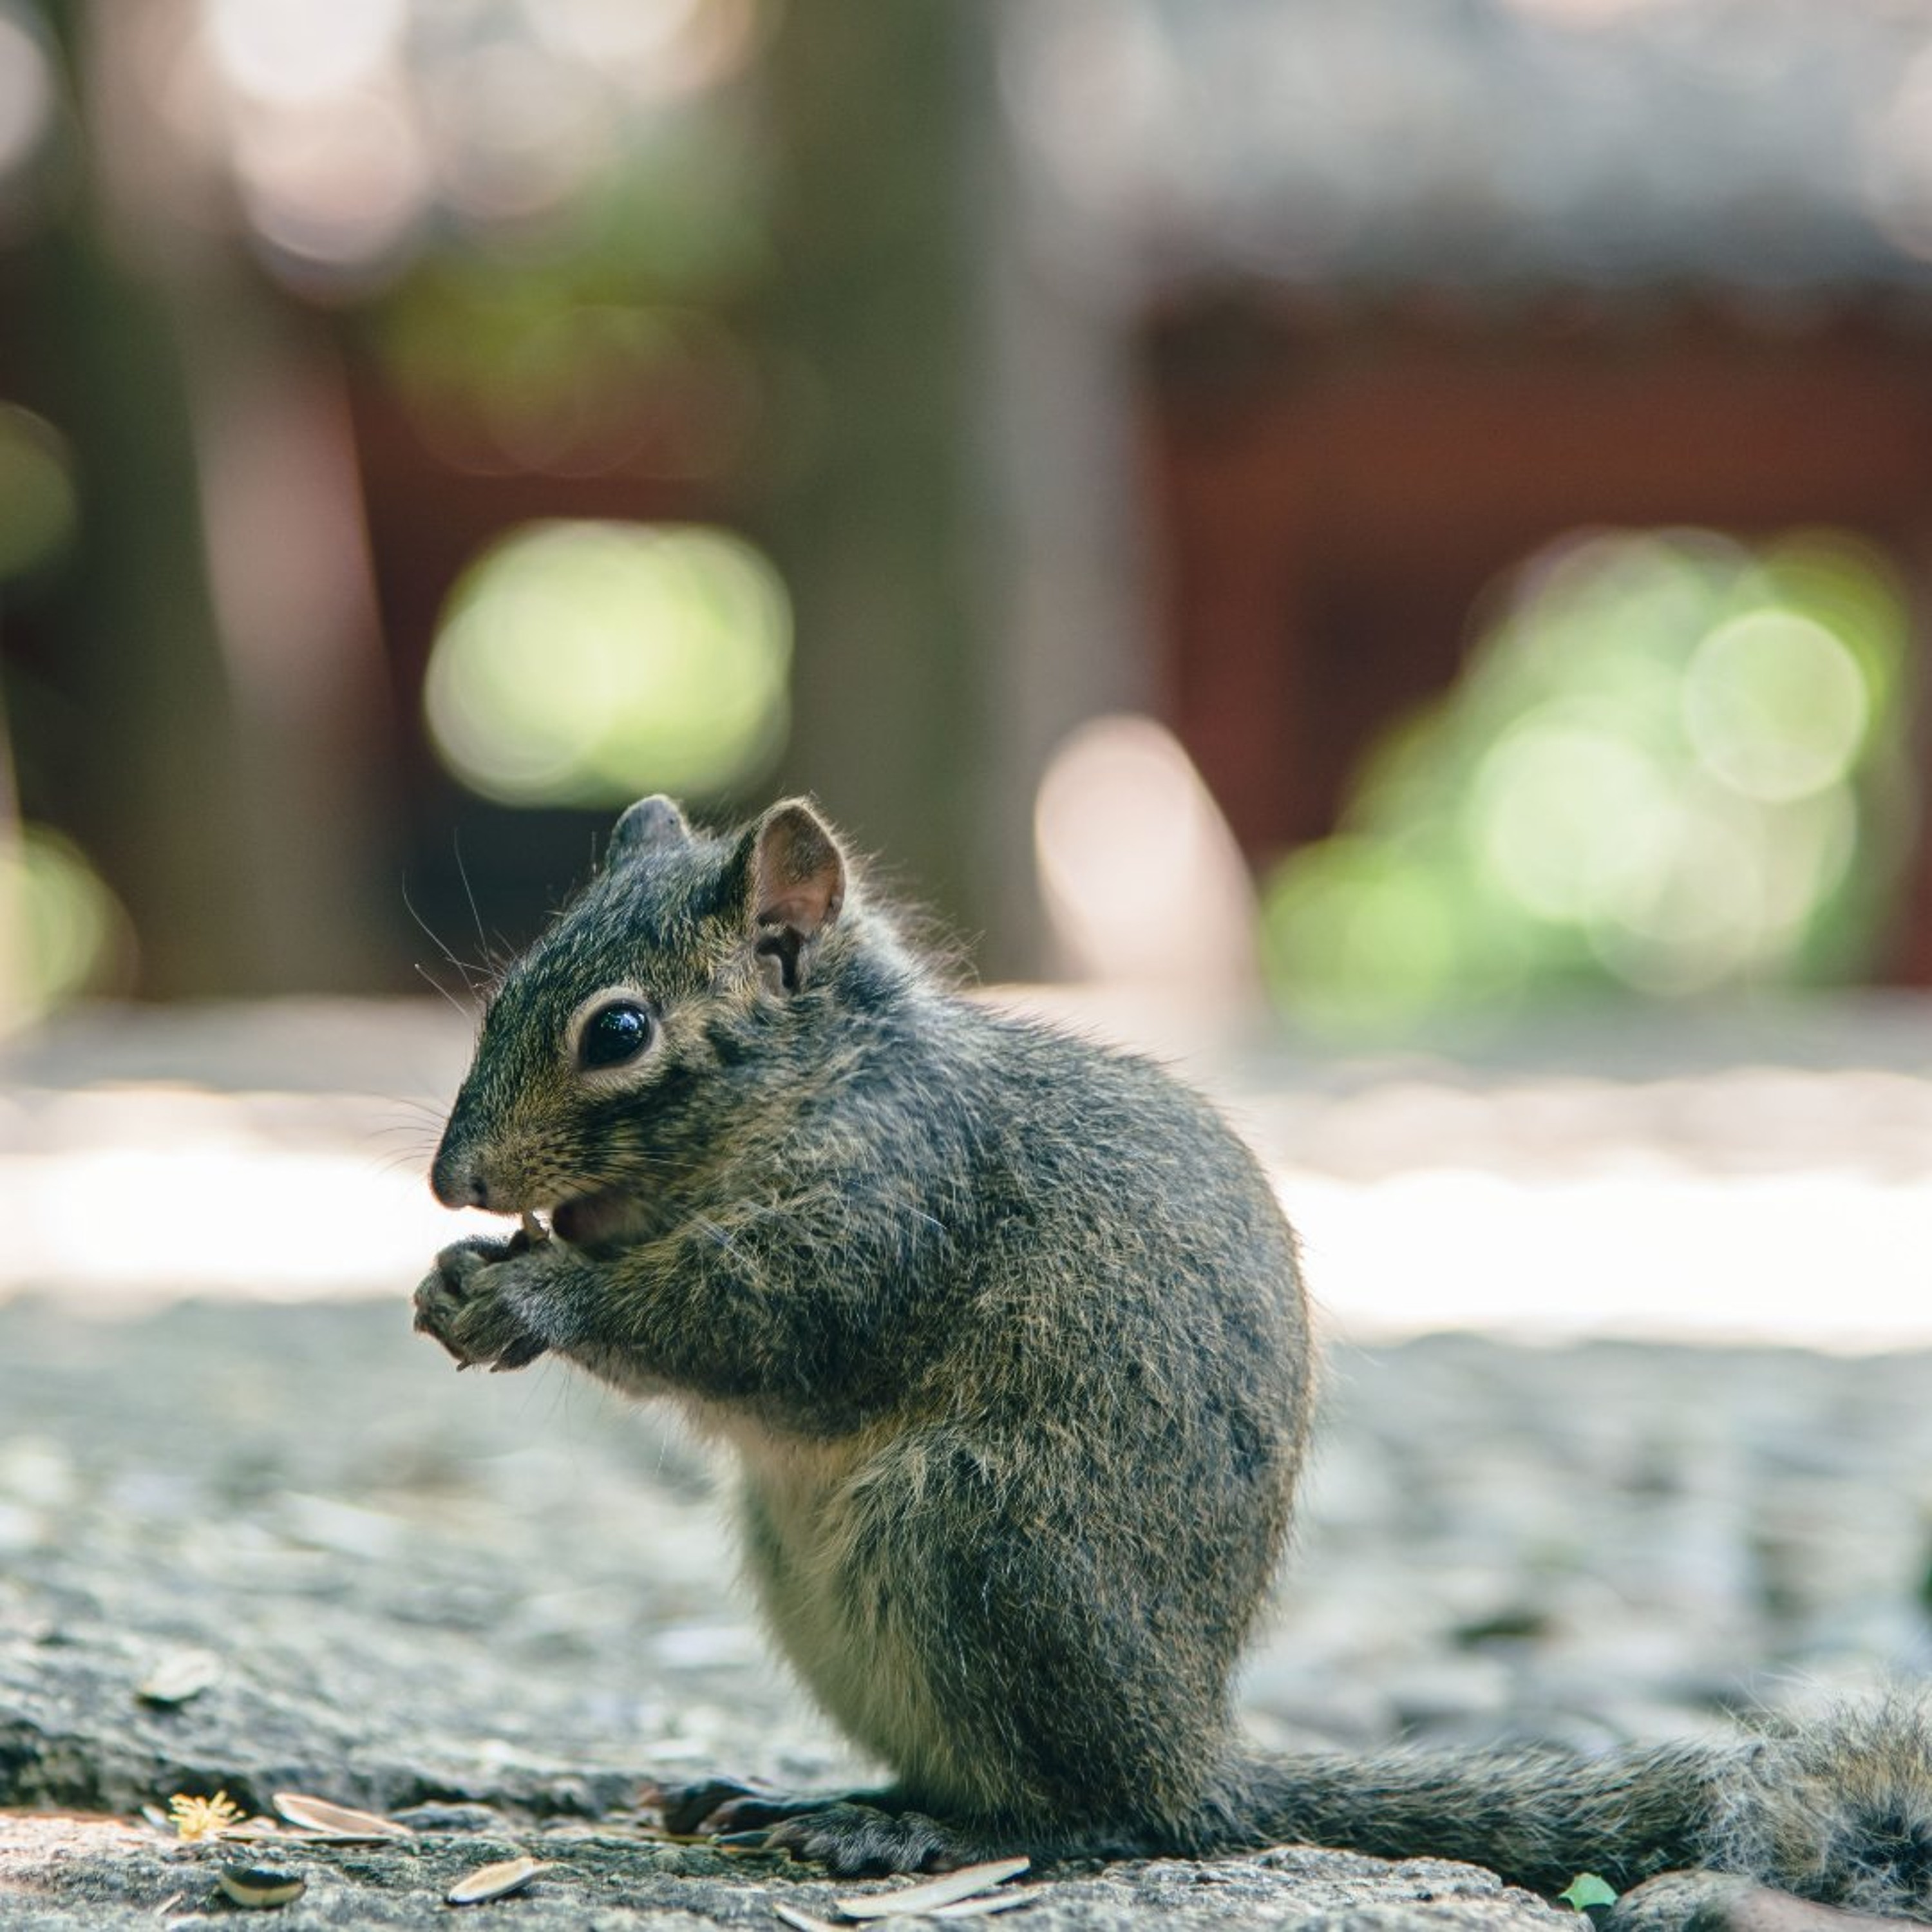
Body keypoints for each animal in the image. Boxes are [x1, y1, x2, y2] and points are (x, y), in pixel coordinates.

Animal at [415, 794, 1932, 1923]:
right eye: (502, 999)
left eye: (618, 1031)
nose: (451, 1182)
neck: (826, 1083)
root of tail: (1197, 1756)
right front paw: (455, 1280)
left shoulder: (895, 1209)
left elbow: (764, 1324)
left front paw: (536, 1292)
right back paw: (817, 1801)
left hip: (977, 1546)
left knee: (1094, 1819)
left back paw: (910, 1839)